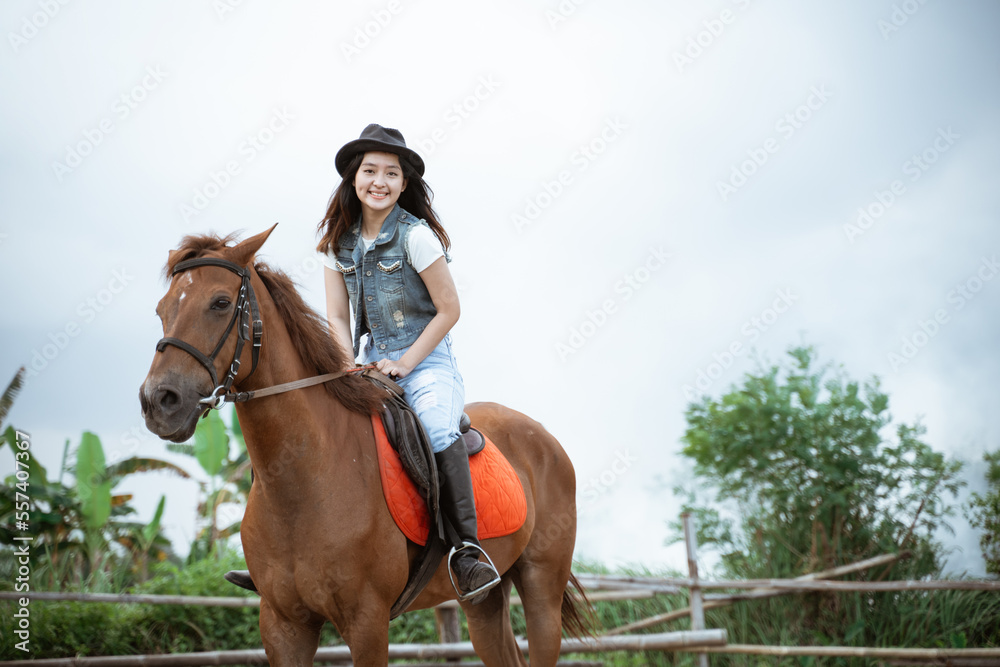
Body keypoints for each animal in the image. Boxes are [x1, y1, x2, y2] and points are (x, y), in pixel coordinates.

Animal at [141, 227, 584, 664]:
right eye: (162, 309)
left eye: (220, 302)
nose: (158, 402)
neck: (302, 480)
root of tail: (544, 438)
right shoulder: (283, 625)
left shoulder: (367, 620)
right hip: (483, 602)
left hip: (541, 590)